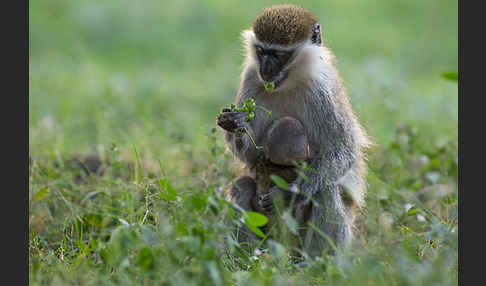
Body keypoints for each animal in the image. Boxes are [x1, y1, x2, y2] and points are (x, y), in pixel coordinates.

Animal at [217, 4, 372, 256]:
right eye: (261, 51)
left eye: (279, 55)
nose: (266, 70)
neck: (289, 82)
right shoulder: (251, 77)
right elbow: (251, 156)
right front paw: (236, 124)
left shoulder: (323, 91)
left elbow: (343, 150)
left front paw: (294, 191)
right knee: (243, 186)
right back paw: (248, 256)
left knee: (325, 190)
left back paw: (316, 261)